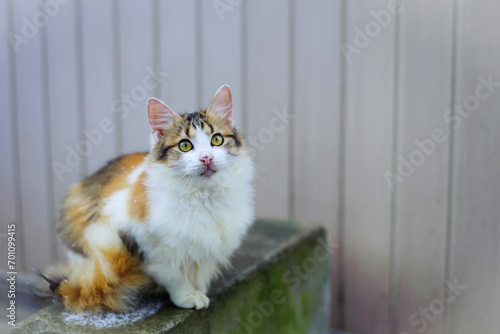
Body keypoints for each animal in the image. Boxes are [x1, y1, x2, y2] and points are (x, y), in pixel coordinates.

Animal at [40, 85, 254, 314]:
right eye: (185, 146)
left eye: (216, 140)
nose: (207, 158)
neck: (204, 196)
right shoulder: (152, 249)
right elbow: (173, 276)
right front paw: (188, 296)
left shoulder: (209, 250)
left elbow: (201, 272)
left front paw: (200, 292)